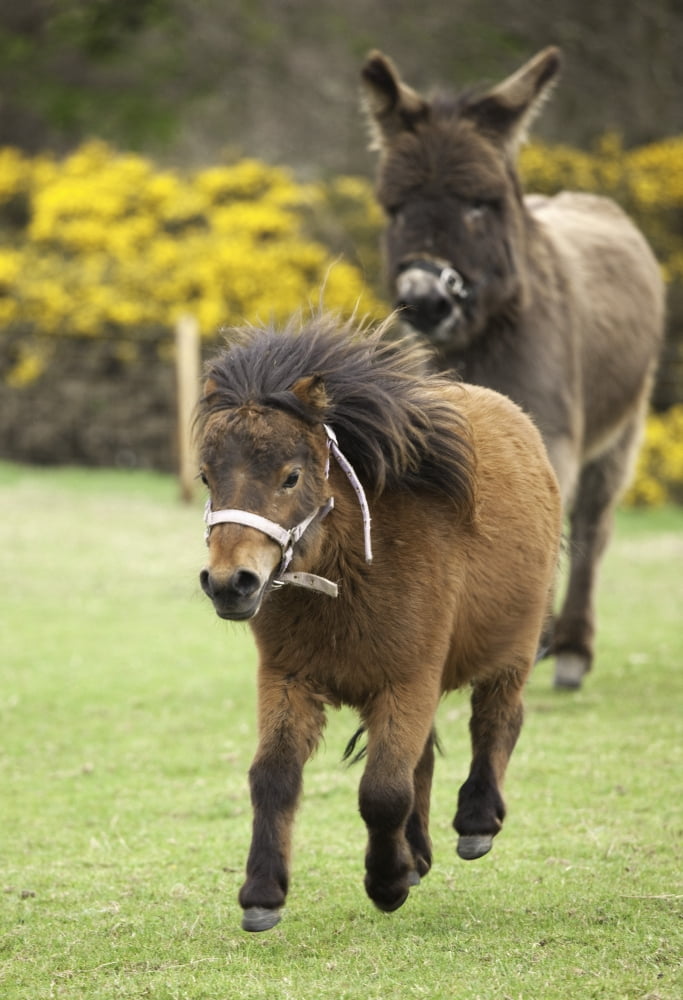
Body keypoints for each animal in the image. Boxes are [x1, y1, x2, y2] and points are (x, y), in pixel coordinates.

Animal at [195, 314, 561, 931]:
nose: (229, 583)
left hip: (511, 651)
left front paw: (387, 882)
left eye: (292, 477)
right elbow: (273, 778)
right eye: (205, 478)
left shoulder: (406, 681)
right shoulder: (288, 679)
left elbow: (383, 791)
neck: (350, 572)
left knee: (497, 720)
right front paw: (263, 892)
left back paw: (476, 821)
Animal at [361, 47, 665, 689]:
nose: (425, 300)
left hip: (622, 429)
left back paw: (570, 650)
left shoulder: (553, 433)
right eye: (395, 209)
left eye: (481, 205)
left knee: (593, 523)